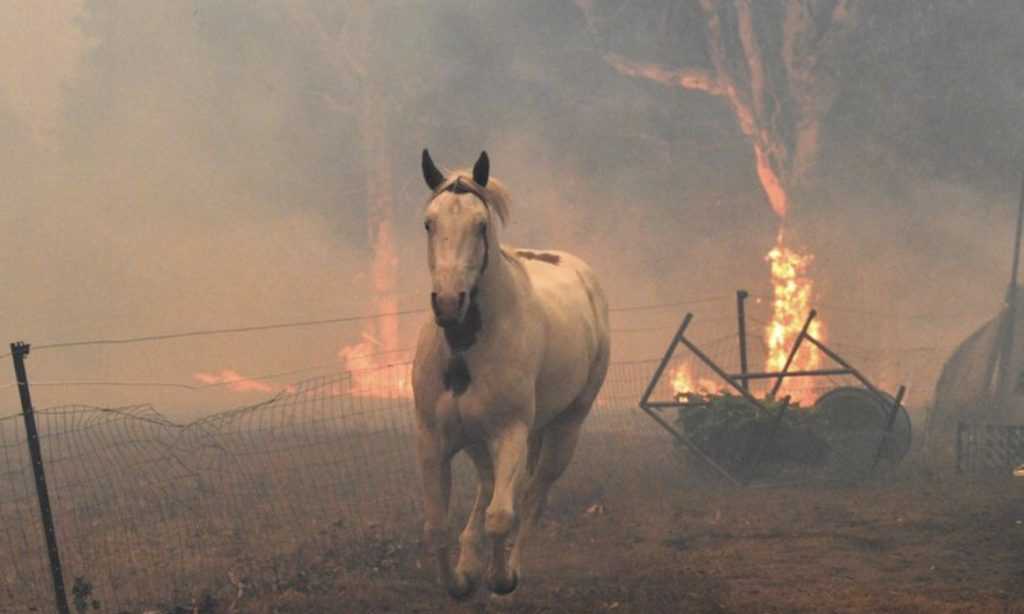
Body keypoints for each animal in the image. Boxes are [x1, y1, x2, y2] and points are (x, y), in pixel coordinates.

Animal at [412, 149, 611, 599]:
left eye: (480, 225)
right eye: (429, 223)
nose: (448, 303)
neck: (466, 348)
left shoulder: (510, 433)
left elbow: (503, 515)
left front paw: (499, 578)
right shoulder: (434, 438)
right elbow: (435, 525)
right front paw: (460, 581)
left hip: (564, 429)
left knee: (532, 496)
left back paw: (508, 569)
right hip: (479, 439)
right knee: (489, 489)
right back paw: (471, 560)